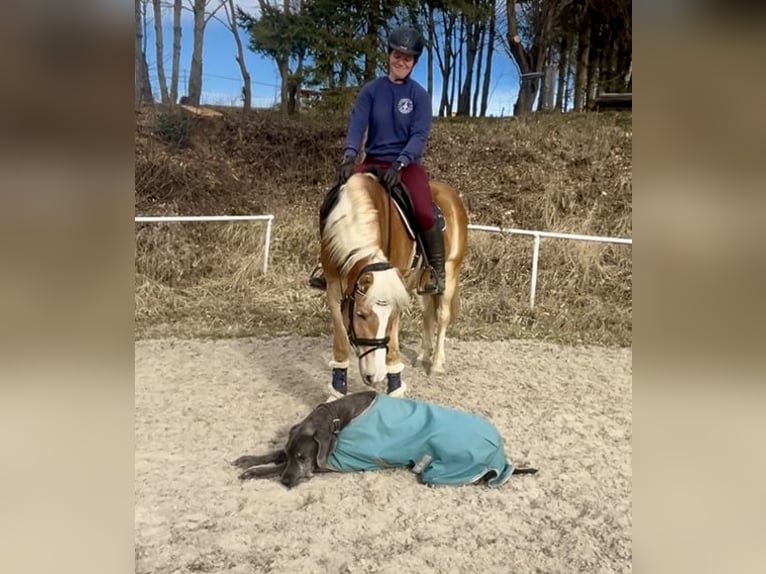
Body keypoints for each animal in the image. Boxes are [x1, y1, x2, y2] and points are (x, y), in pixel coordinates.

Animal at [318, 171, 468, 398]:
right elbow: (341, 342)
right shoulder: (334, 288)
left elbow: (393, 344)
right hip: (423, 283)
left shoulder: (398, 286)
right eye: (360, 314)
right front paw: (336, 392)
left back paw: (436, 364)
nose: (373, 376)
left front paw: (395, 389)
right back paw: (423, 356)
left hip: (450, 273)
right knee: (427, 313)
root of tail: (452, 194)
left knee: (442, 316)